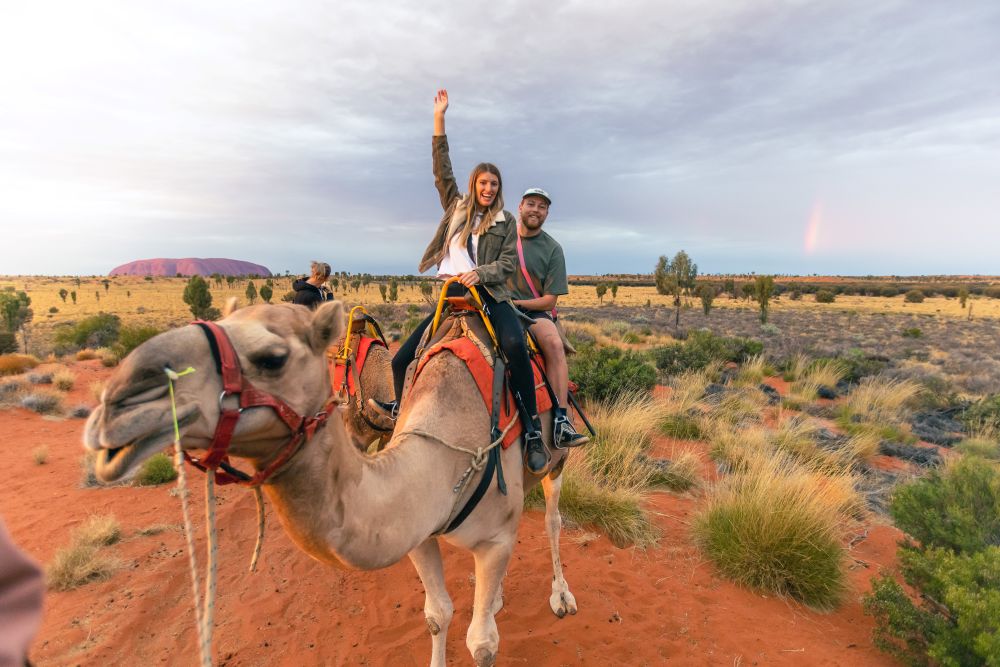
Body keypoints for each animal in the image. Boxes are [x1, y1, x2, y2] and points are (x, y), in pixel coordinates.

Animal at [84, 300, 576, 667]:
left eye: (272, 358)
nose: (119, 401)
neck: (450, 444)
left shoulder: (492, 538)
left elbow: (483, 644)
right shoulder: (418, 534)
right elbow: (438, 616)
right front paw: (471, 608)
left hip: (556, 463)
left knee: (551, 520)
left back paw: (561, 596)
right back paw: (498, 599)